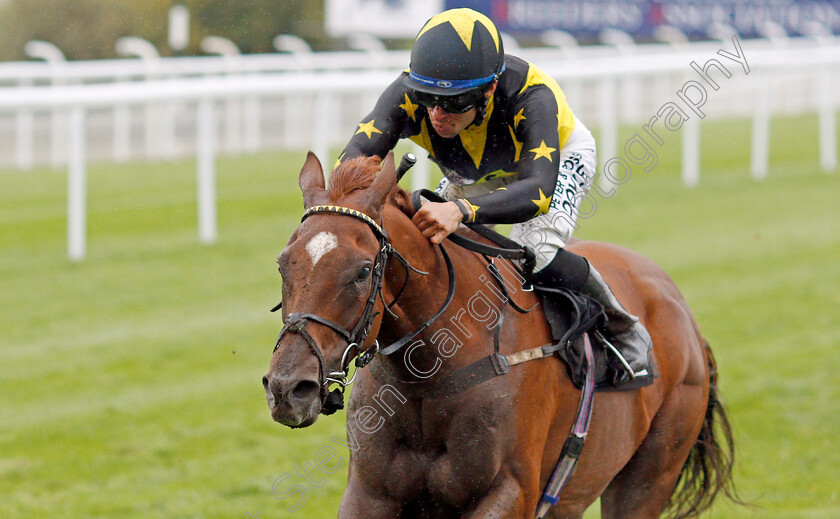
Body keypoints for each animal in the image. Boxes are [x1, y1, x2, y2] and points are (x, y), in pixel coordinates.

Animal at [264, 152, 736, 516]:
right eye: (283, 264)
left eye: (363, 271)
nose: (288, 389)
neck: (427, 376)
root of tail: (683, 311)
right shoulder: (369, 494)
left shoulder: (510, 492)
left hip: (650, 473)